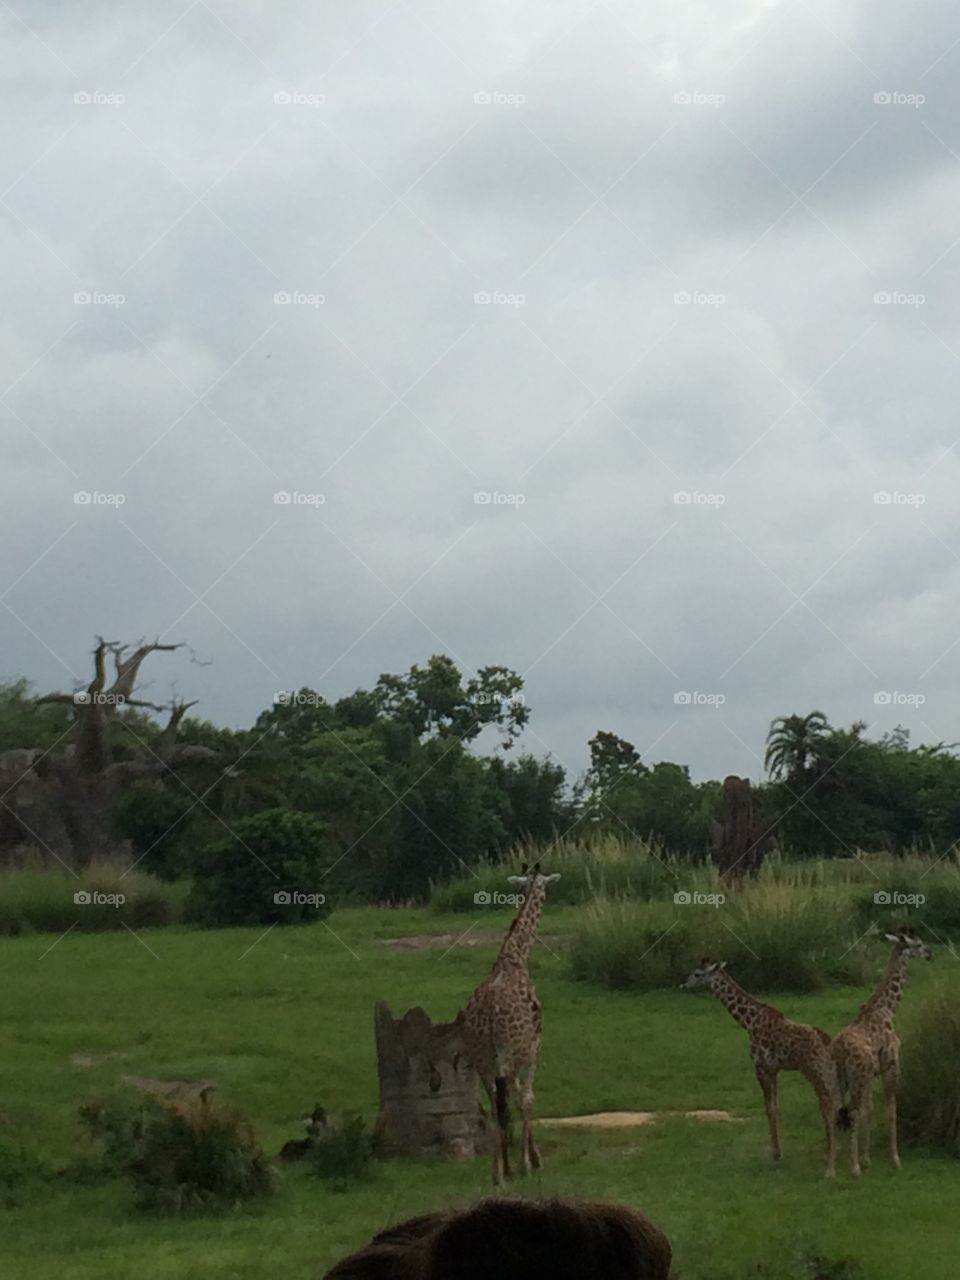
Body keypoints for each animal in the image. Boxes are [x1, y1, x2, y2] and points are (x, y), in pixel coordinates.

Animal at [463, 865, 560, 1182]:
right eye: (544, 887)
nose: (546, 896)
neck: (515, 956)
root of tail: (491, 1019)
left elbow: (512, 1099)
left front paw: (521, 1160)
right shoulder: (533, 1046)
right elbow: (527, 1097)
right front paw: (531, 1161)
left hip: (482, 1057)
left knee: (495, 1103)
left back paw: (498, 1171)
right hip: (510, 1053)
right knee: (511, 1099)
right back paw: (510, 1167)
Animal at [686, 957, 839, 1172]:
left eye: (697, 974)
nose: (684, 984)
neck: (749, 1021)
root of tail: (827, 1040)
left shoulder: (760, 1066)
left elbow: (769, 1108)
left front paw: (776, 1154)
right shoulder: (774, 1069)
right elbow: (775, 1106)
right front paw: (778, 1152)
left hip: (813, 1069)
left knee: (827, 1102)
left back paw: (829, 1153)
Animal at [834, 926, 931, 1172]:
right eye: (917, 944)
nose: (930, 952)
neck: (887, 1008)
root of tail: (839, 1051)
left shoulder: (872, 1073)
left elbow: (869, 1111)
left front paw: (867, 1158)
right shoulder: (891, 1065)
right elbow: (890, 1111)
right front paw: (895, 1160)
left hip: (839, 1078)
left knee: (837, 1110)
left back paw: (835, 1160)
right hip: (856, 1077)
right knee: (852, 1111)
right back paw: (854, 1168)